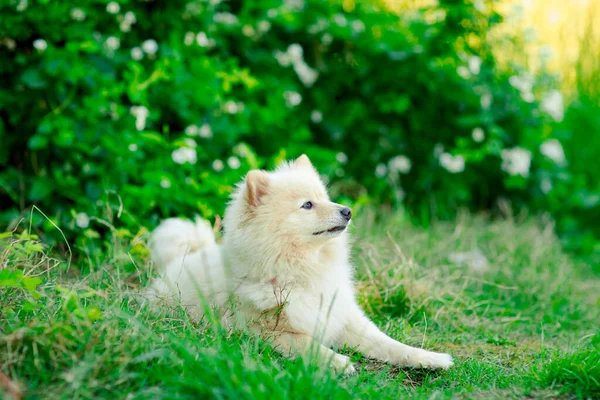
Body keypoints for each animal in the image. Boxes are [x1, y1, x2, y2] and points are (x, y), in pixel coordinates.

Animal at [146, 155, 454, 374]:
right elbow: (305, 342)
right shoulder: (260, 330)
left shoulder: (341, 316)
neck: (304, 270)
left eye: (324, 198)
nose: (347, 211)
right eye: (307, 205)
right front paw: (336, 361)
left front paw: (430, 358)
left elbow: (389, 343)